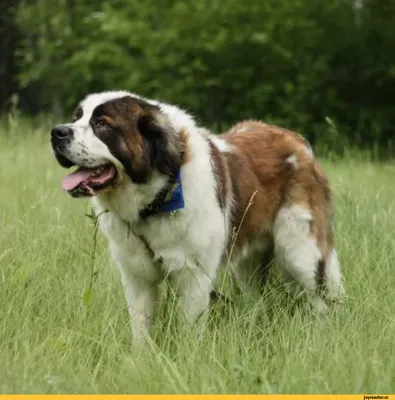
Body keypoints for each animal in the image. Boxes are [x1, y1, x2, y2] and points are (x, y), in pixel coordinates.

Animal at [51, 91, 344, 344]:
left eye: (101, 123)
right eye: (76, 117)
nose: (57, 132)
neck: (155, 200)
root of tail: (298, 141)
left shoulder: (194, 276)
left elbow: (190, 328)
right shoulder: (137, 277)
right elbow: (141, 327)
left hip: (300, 251)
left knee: (320, 301)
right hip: (248, 264)